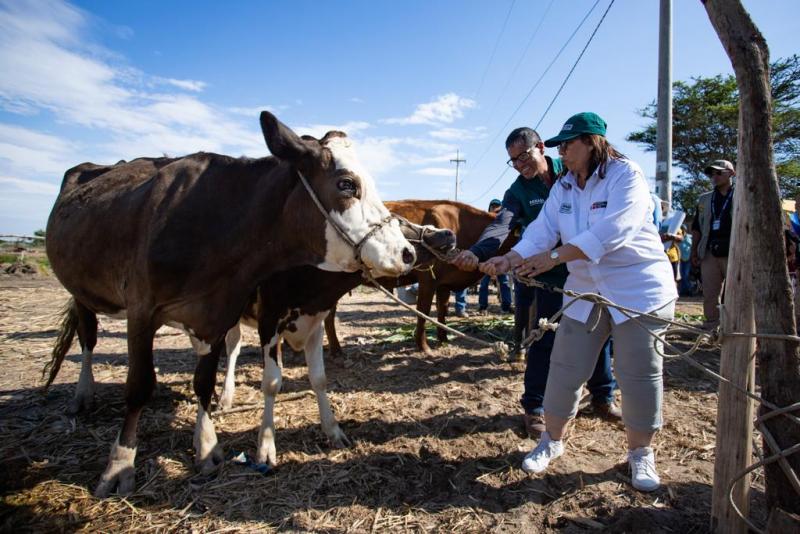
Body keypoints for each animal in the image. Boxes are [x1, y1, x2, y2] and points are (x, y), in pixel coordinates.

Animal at [44, 111, 418, 500]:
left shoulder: (235, 312)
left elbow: (213, 380)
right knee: (88, 339)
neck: (213, 227)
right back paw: (83, 395)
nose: (407, 252)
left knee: (230, 349)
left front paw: (208, 447)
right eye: (346, 184)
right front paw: (120, 464)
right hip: (82, 293)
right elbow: (141, 385)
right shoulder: (148, 312)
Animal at [324, 201, 520, 356]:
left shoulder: (444, 284)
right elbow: (423, 312)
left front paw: (443, 339)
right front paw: (423, 346)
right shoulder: (427, 279)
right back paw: (336, 350)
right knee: (329, 315)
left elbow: (442, 311)